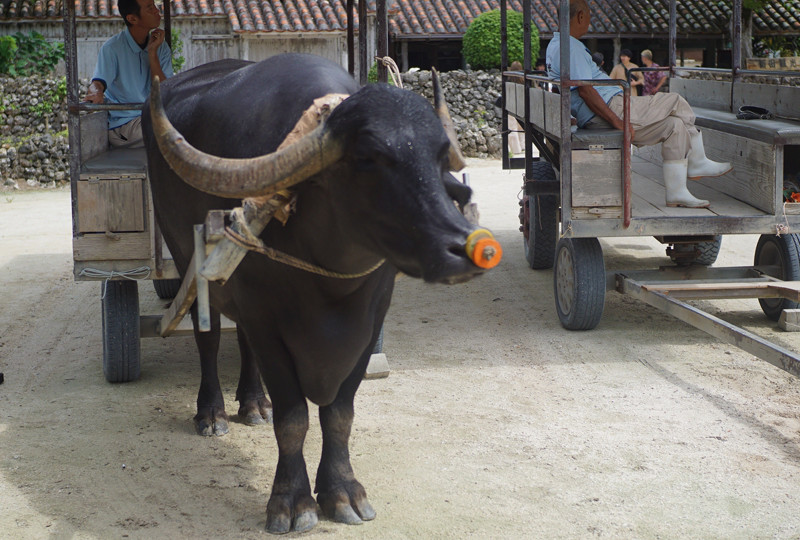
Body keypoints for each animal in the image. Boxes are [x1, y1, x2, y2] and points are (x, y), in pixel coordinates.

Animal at [141, 52, 496, 532]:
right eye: (367, 157)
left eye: (441, 155)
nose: (464, 249)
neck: (330, 286)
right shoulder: (267, 321)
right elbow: (294, 418)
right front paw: (291, 502)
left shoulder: (369, 323)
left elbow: (339, 414)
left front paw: (343, 492)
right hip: (187, 263)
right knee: (209, 336)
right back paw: (212, 413)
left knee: (242, 344)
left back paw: (254, 404)